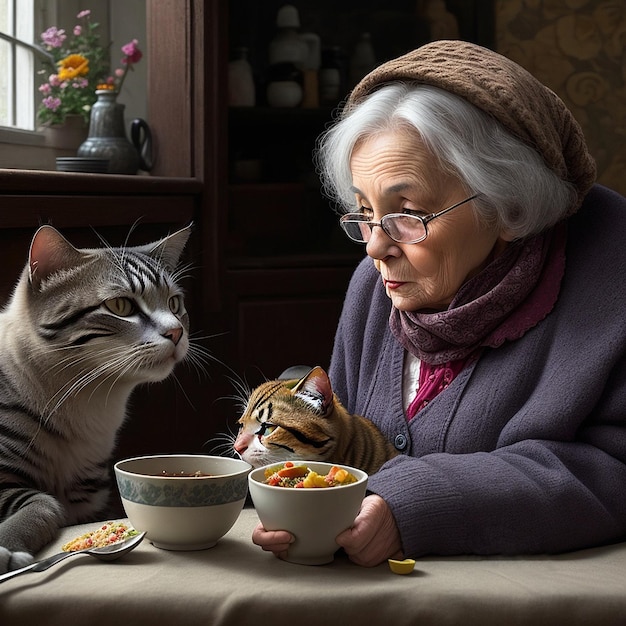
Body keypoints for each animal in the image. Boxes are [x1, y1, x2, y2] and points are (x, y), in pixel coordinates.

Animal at [0, 224, 190, 572]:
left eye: (174, 303)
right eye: (121, 306)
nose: (177, 332)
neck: (90, 400)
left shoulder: (89, 497)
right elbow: (43, 504)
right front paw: (7, 548)